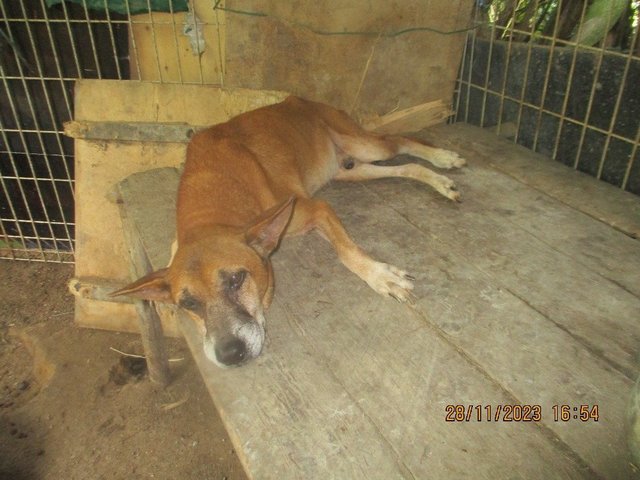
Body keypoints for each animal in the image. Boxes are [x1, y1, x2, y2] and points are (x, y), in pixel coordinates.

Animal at [114, 97, 464, 368]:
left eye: (236, 279)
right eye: (188, 304)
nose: (230, 355)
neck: (211, 199)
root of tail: (301, 100)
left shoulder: (316, 209)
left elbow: (347, 252)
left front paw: (379, 275)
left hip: (365, 145)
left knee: (401, 140)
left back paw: (443, 157)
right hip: (349, 170)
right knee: (403, 166)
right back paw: (437, 180)